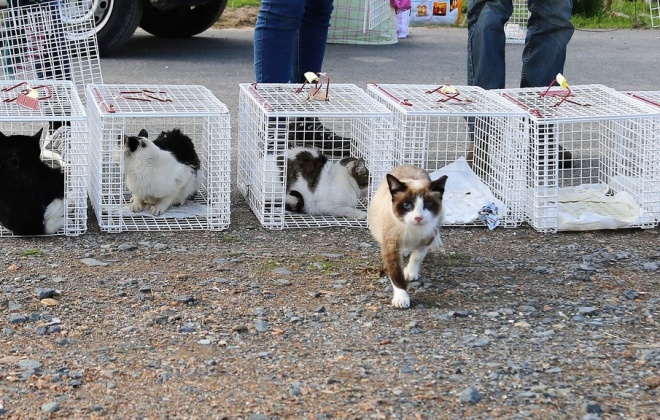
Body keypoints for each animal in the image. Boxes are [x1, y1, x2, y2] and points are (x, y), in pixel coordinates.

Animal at [366, 165, 448, 308]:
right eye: (406, 205)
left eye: (428, 205)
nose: (418, 217)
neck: (413, 229)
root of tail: (409, 164)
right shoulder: (391, 245)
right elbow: (397, 274)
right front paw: (401, 298)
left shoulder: (425, 241)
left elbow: (416, 258)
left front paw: (410, 273)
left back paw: (437, 244)